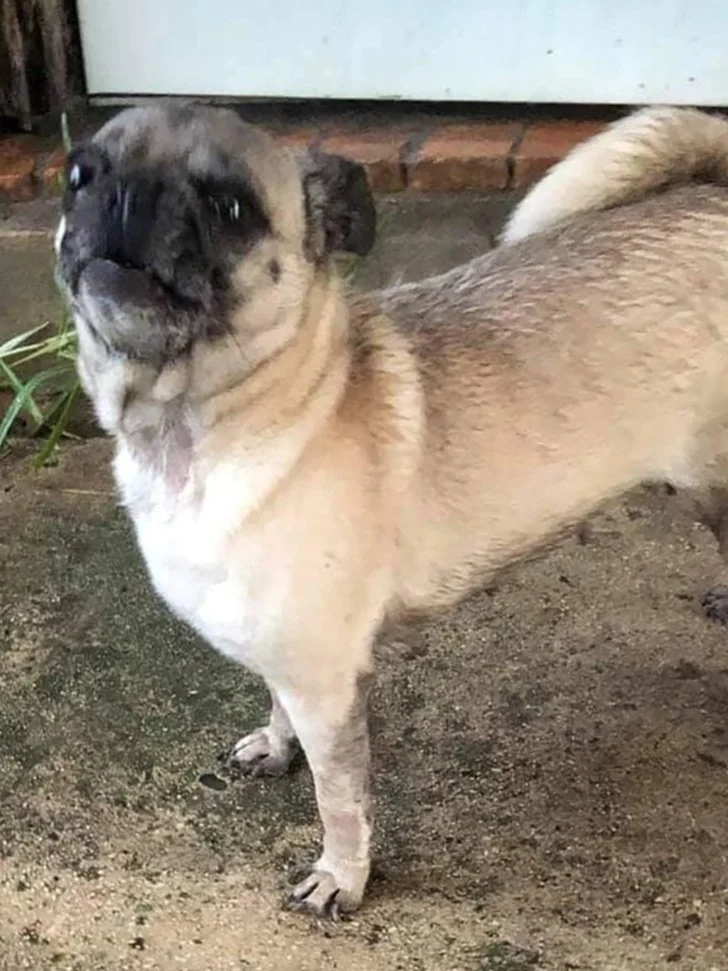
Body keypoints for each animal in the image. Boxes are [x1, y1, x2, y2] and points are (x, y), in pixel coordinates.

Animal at [55, 102, 728, 917]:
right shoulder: (289, 659)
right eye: (78, 173)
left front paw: (342, 876)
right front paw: (276, 744)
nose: (121, 196)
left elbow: (340, 798)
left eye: (231, 208)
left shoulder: (327, 684)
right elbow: (279, 707)